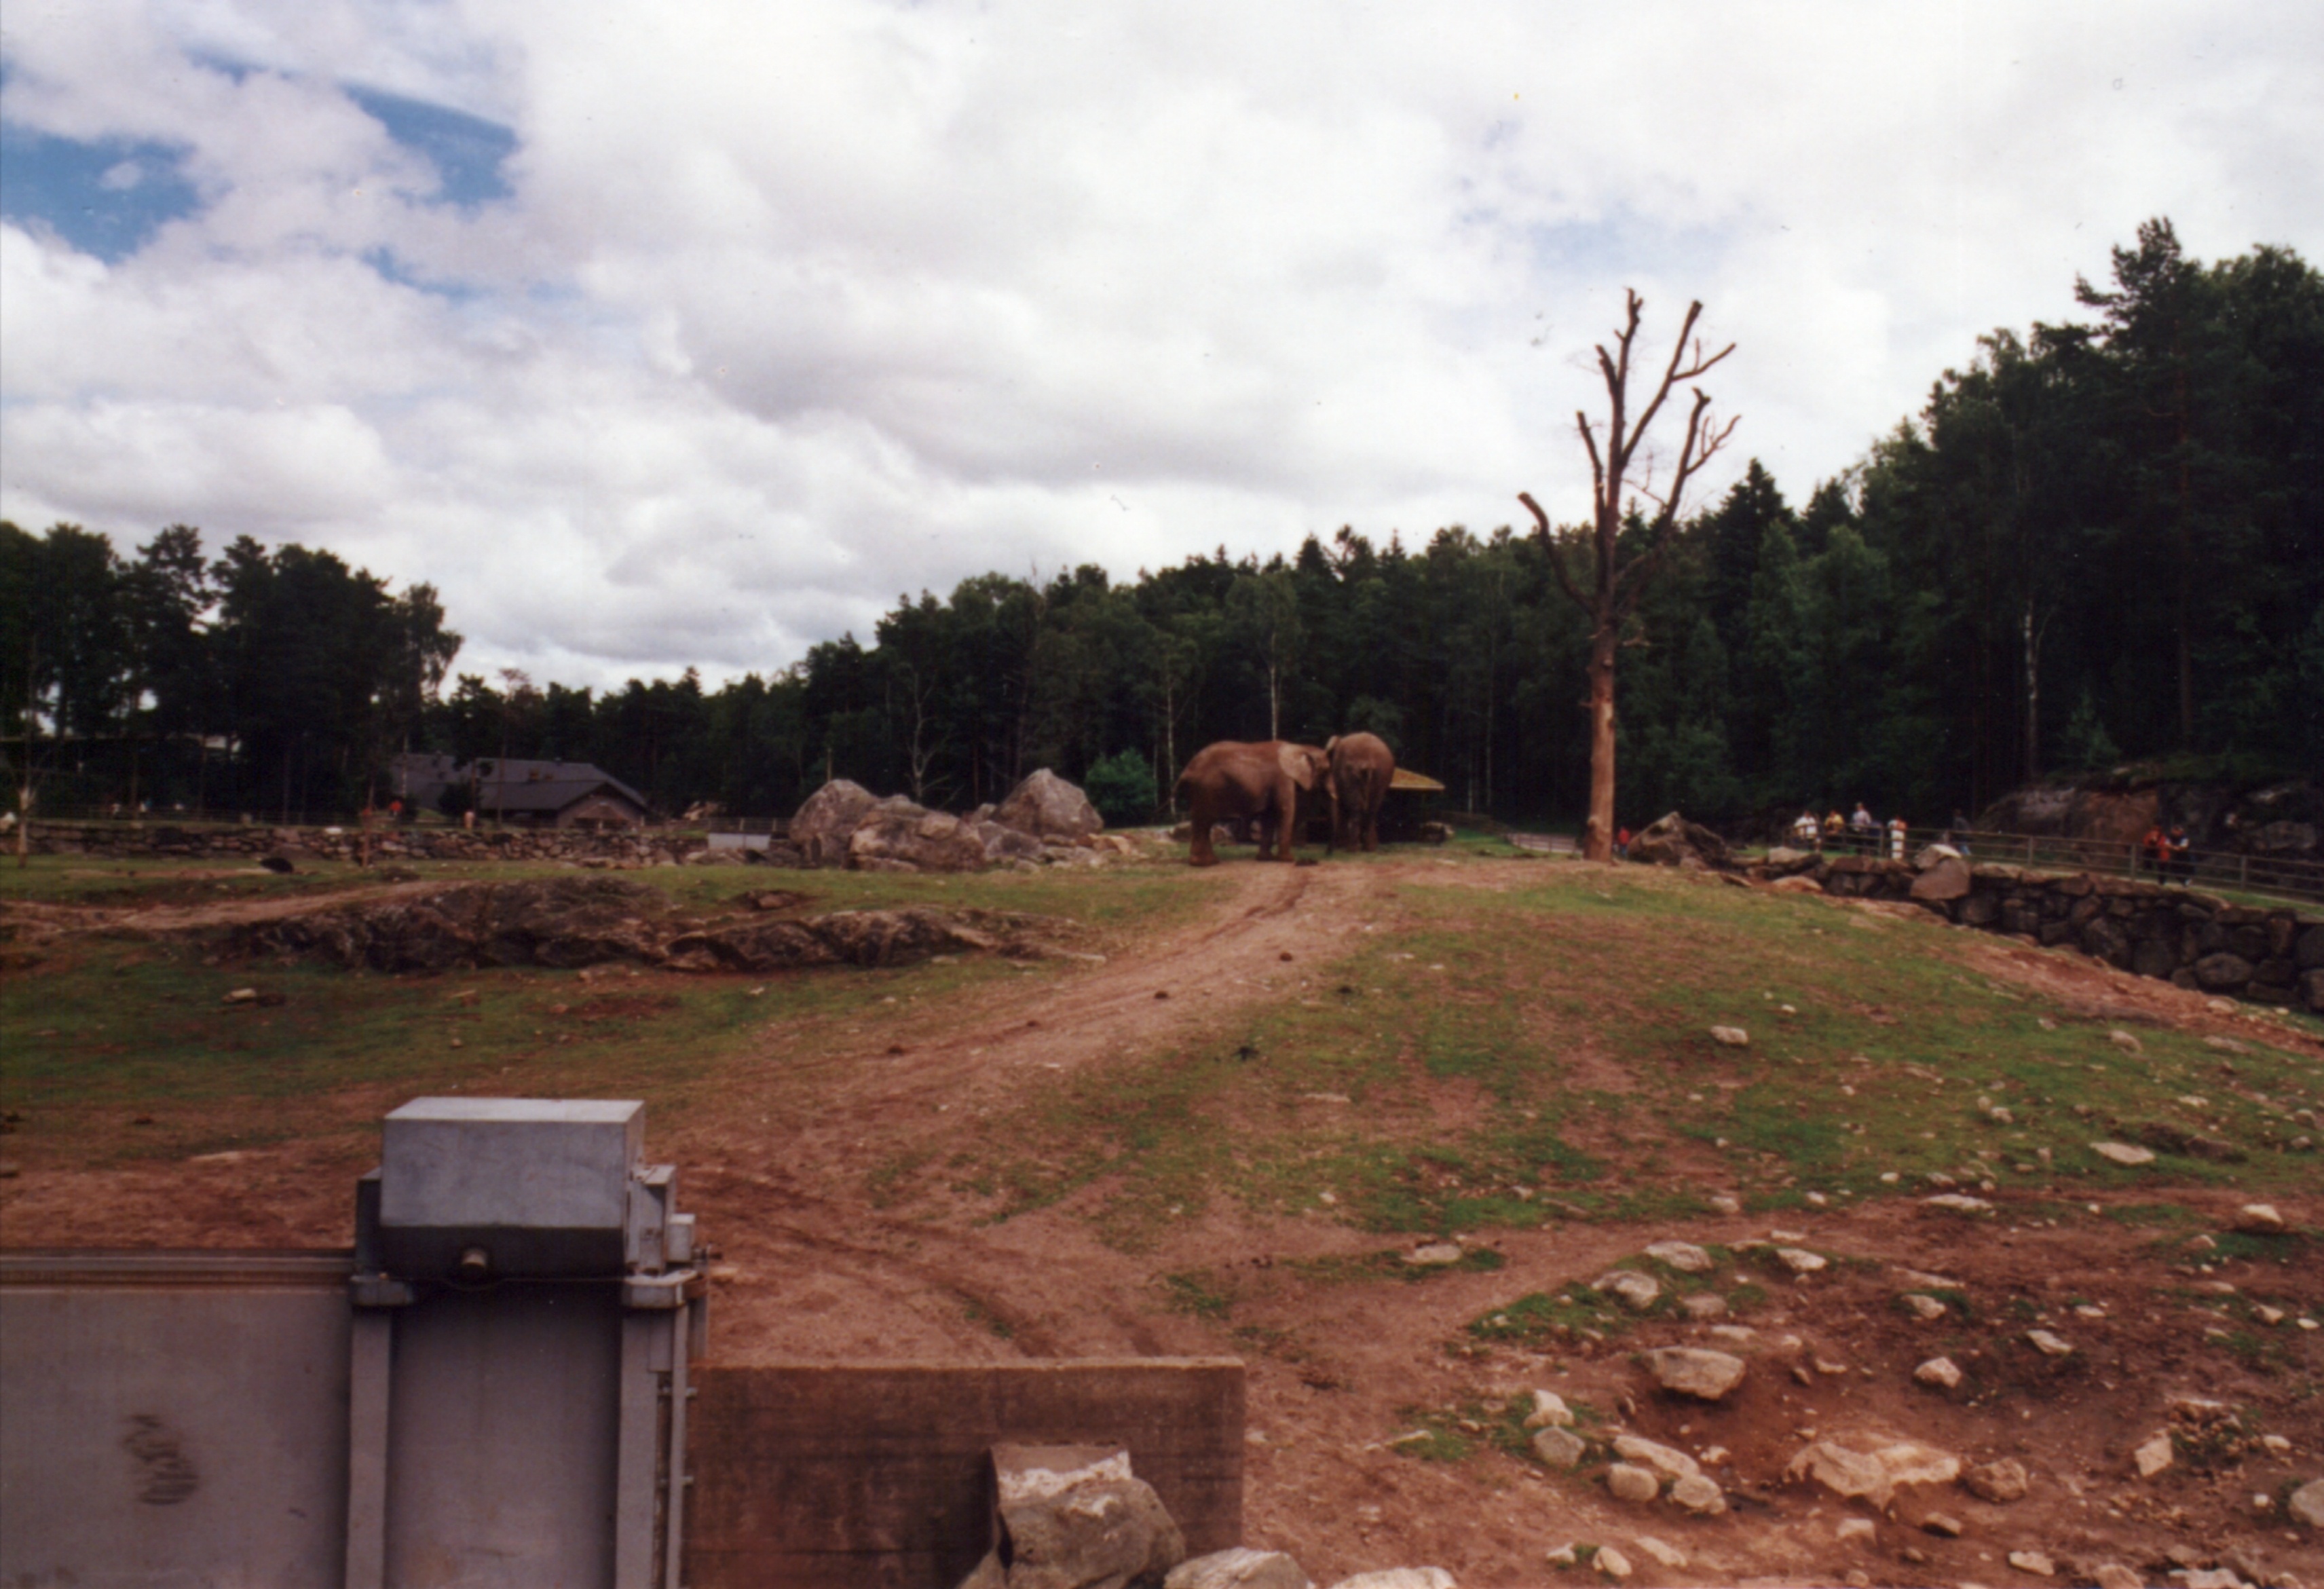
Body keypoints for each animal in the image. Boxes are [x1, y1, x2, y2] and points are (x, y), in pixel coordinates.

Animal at [1180, 743, 1329, 869]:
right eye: (1326, 771)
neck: (1300, 747)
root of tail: (1187, 770)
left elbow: (1269, 816)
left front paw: (1266, 859)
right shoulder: (1283, 779)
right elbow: (1284, 810)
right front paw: (1287, 860)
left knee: (1203, 822)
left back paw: (1210, 862)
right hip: (1206, 788)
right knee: (1205, 820)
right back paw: (1204, 864)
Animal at [1329, 734, 1394, 855]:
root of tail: (1368, 761)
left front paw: (1341, 846)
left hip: (1351, 774)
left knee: (1357, 808)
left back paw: (1351, 850)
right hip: (1381, 775)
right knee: (1373, 808)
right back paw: (1369, 849)